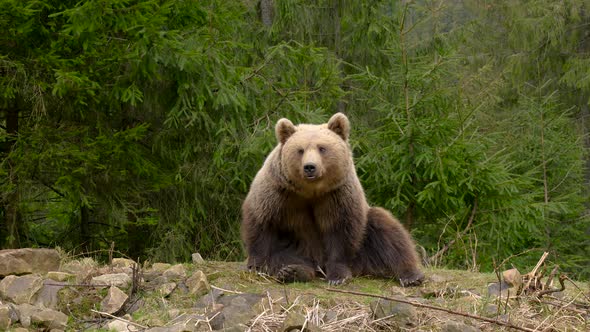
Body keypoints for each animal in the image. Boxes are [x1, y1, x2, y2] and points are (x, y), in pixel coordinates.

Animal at [240, 112, 426, 286]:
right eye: (300, 150)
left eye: (322, 148)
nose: (310, 167)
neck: (311, 191)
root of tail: (318, 265)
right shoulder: (278, 192)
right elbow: (262, 223)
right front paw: (256, 265)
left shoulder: (337, 195)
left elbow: (341, 231)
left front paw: (338, 276)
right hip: (296, 246)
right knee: (282, 256)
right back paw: (293, 271)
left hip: (364, 247)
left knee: (387, 231)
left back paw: (411, 275)